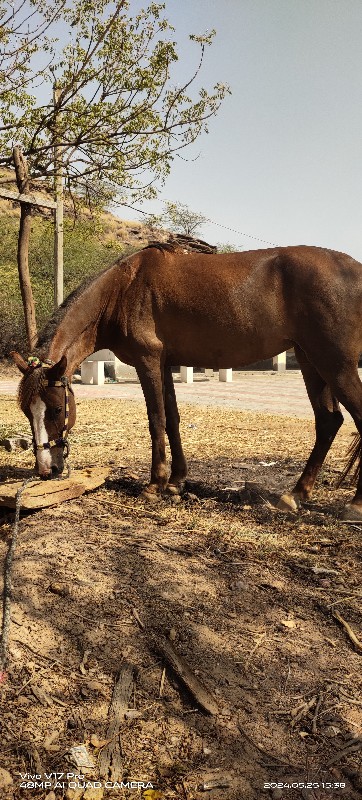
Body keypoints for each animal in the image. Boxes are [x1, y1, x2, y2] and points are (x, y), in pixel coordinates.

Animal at [11, 241, 362, 520]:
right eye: (27, 412)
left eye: (57, 409)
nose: (46, 469)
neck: (122, 289)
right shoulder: (165, 365)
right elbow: (173, 420)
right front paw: (177, 481)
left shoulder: (148, 362)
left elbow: (156, 420)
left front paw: (155, 484)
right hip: (310, 360)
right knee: (328, 421)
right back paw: (296, 495)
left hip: (334, 364)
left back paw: (354, 506)